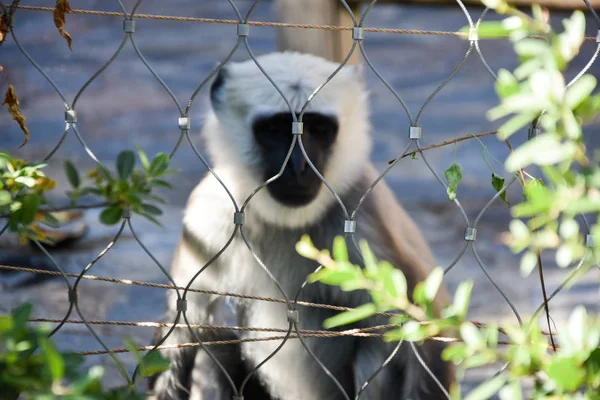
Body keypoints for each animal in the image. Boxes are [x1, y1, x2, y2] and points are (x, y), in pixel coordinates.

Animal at [148, 51, 452, 398]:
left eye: (318, 128)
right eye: (276, 129)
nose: (298, 167)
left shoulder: (365, 217)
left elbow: (425, 334)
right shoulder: (210, 213)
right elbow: (185, 322)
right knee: (212, 346)